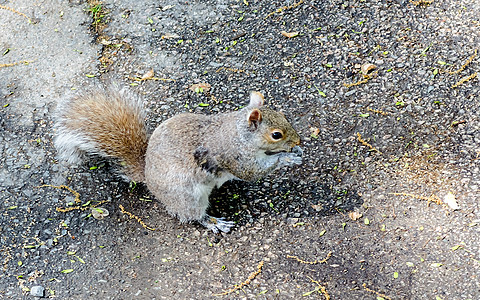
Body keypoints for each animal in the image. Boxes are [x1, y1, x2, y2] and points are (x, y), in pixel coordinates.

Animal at [54, 85, 302, 233]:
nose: (298, 140)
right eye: (276, 134)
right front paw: (287, 158)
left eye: (285, 117)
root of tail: (148, 179)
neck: (239, 134)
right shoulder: (235, 157)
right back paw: (214, 222)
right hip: (187, 196)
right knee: (193, 215)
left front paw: (295, 152)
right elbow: (253, 172)